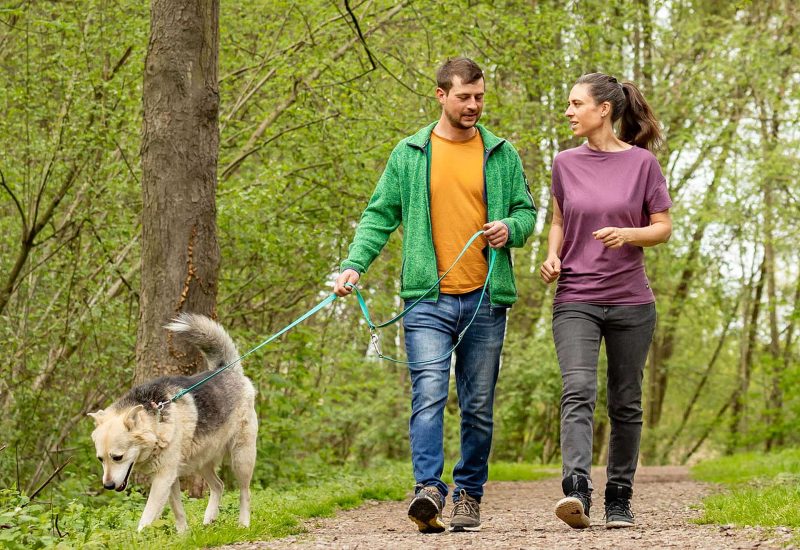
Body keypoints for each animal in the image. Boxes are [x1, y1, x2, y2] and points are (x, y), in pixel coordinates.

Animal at [90, 314, 260, 536]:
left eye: (117, 457)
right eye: (100, 459)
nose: (108, 485)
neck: (156, 421)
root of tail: (229, 370)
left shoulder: (163, 478)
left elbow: (147, 516)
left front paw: (138, 537)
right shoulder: (170, 478)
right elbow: (178, 511)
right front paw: (183, 535)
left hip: (241, 459)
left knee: (244, 493)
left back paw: (243, 523)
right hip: (202, 461)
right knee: (219, 485)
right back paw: (209, 519)